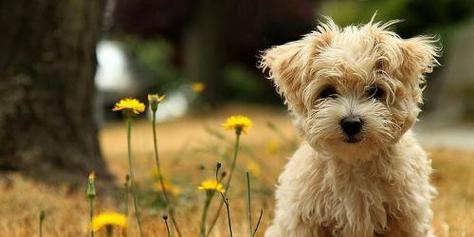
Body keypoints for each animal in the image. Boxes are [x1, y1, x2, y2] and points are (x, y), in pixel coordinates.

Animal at [260, 17, 440, 237]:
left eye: (375, 91)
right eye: (327, 92)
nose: (351, 123)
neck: (355, 161)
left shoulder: (408, 218)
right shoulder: (303, 218)